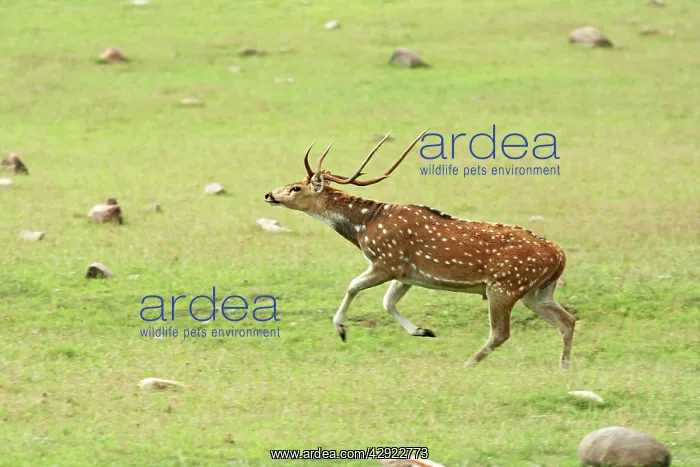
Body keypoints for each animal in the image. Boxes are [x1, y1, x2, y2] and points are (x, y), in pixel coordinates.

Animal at [264, 130, 576, 369]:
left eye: (295, 188)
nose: (268, 194)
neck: (364, 226)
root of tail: (560, 255)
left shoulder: (386, 261)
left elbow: (353, 286)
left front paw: (341, 329)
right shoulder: (407, 274)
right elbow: (387, 302)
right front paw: (423, 331)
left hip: (505, 286)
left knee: (501, 332)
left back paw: (468, 364)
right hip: (537, 291)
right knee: (567, 320)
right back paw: (563, 367)